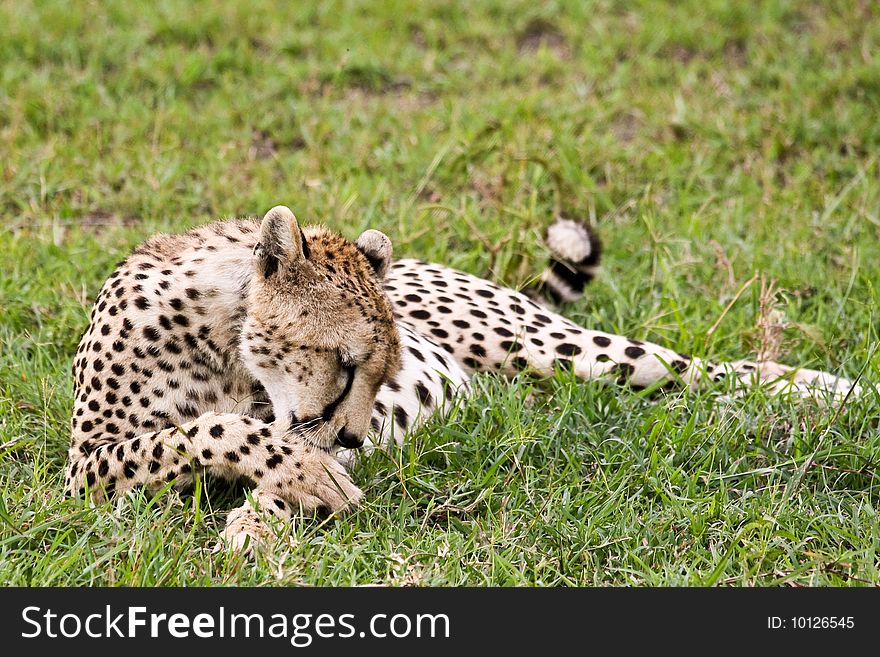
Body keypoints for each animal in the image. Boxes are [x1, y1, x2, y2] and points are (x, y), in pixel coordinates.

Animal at [65, 205, 864, 548]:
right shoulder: (83, 467)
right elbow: (202, 431)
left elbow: (253, 445)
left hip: (551, 347)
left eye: (381, 371)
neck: (223, 336)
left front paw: (263, 519)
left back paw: (830, 392)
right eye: (346, 361)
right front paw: (294, 487)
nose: (354, 439)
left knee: (692, 368)